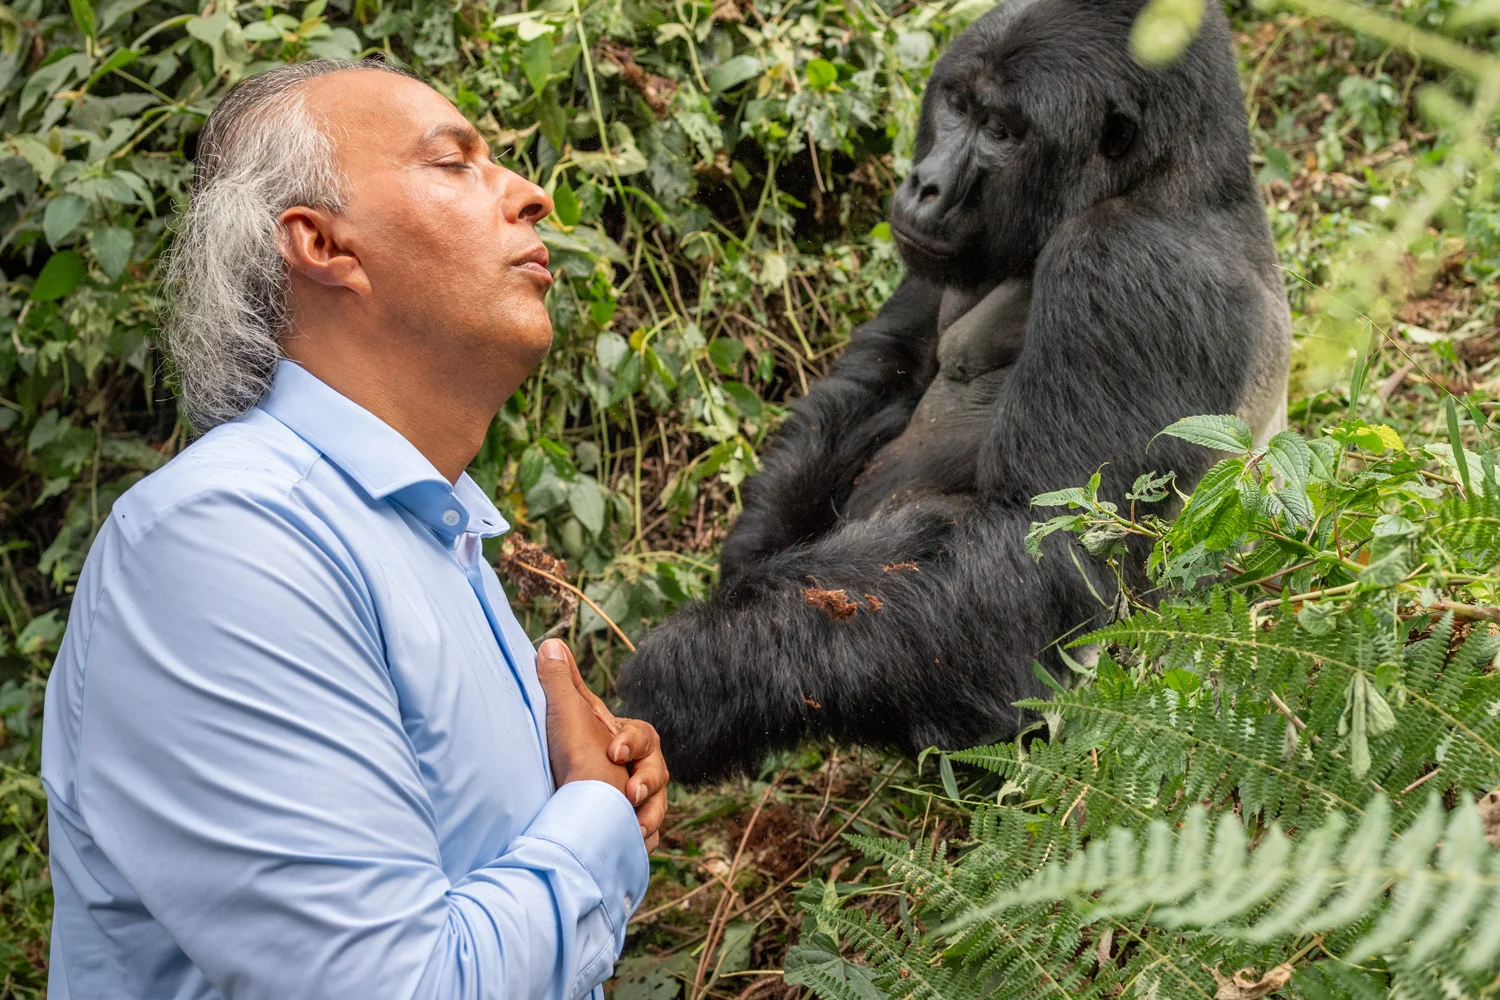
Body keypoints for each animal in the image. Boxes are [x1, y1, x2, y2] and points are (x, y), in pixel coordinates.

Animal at [618, 0, 1290, 785]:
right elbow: (889, 367)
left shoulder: (1129, 267)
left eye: (1001, 131)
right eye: (959, 106)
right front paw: (751, 552)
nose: (925, 184)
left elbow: (1037, 551)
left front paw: (698, 673)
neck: (1172, 172)